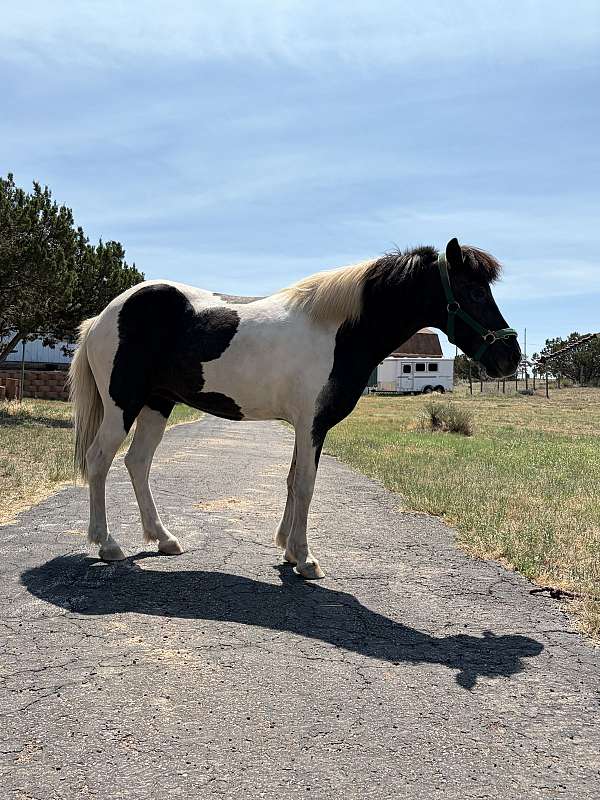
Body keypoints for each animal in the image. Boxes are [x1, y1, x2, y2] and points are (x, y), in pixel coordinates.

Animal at [69, 237, 520, 578]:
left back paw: (164, 539)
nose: (510, 357)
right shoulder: (312, 425)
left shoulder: (304, 426)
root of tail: (102, 316)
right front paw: (305, 559)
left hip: (157, 405)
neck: (337, 330)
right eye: (474, 291)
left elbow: (290, 481)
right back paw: (107, 544)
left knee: (137, 463)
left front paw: (286, 548)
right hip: (122, 405)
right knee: (99, 459)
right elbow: (304, 484)